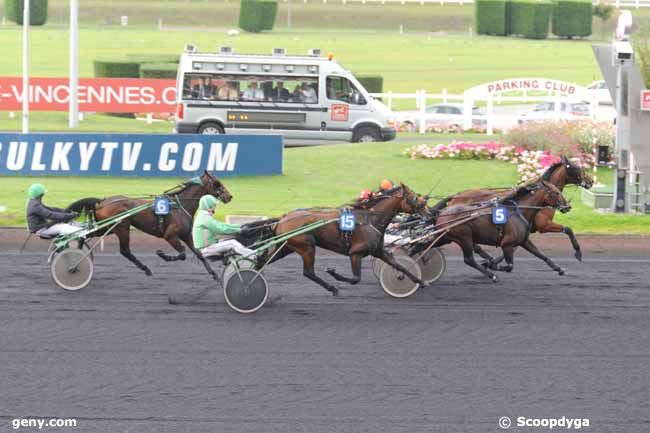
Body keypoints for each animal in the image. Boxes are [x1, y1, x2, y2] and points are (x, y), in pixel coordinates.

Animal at [65, 170, 230, 278]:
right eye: (217, 183)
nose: (229, 196)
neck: (180, 205)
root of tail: (102, 201)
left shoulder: (186, 235)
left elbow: (198, 253)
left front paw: (214, 274)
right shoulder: (170, 235)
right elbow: (182, 254)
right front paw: (162, 255)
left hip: (109, 227)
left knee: (84, 235)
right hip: (122, 227)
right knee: (125, 251)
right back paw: (146, 268)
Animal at [253, 184, 430, 296]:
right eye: (414, 198)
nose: (429, 213)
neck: (370, 219)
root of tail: (282, 218)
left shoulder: (378, 251)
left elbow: (400, 266)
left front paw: (421, 282)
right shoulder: (355, 253)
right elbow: (356, 279)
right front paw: (334, 273)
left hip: (286, 246)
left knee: (264, 261)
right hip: (306, 247)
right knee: (308, 272)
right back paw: (332, 288)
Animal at [430, 155, 592, 264]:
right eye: (578, 168)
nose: (591, 181)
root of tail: (455, 196)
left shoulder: (524, 229)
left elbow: (517, 245)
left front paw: (494, 262)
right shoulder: (543, 225)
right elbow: (568, 229)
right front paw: (578, 252)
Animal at [430, 181, 568, 282]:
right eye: (556, 193)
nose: (568, 206)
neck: (518, 212)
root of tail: (442, 213)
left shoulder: (524, 241)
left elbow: (541, 254)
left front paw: (559, 269)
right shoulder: (507, 244)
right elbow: (510, 266)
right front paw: (492, 265)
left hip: (445, 237)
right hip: (464, 238)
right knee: (469, 259)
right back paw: (492, 275)